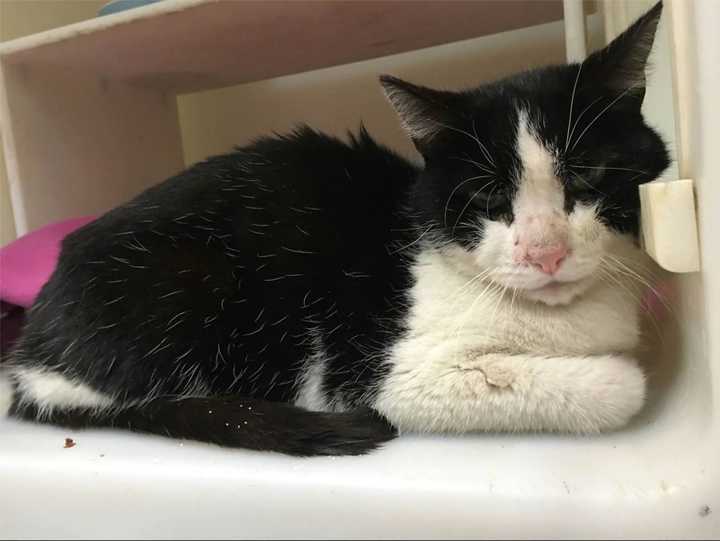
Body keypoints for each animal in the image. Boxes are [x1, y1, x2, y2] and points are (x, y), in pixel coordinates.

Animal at [0, 2, 668, 456]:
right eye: (487, 197)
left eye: (590, 175)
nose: (544, 252)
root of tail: (31, 362)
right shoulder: (388, 375)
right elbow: (619, 385)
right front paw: (620, 374)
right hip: (195, 280)